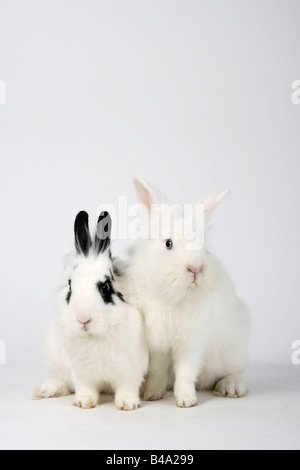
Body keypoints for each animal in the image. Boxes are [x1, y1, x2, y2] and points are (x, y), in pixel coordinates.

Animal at [34, 211, 148, 410]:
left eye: (105, 287)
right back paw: (48, 388)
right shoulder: (81, 372)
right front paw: (84, 403)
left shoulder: (130, 369)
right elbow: (85, 387)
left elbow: (127, 386)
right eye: (70, 286)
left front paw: (127, 404)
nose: (83, 320)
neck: (95, 336)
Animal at [118, 176, 250, 408]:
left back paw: (230, 387)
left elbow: (186, 371)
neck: (174, 296)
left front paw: (186, 400)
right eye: (168, 243)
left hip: (233, 349)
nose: (195, 269)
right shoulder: (158, 343)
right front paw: (153, 394)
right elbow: (158, 369)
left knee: (237, 371)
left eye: (202, 245)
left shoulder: (191, 341)